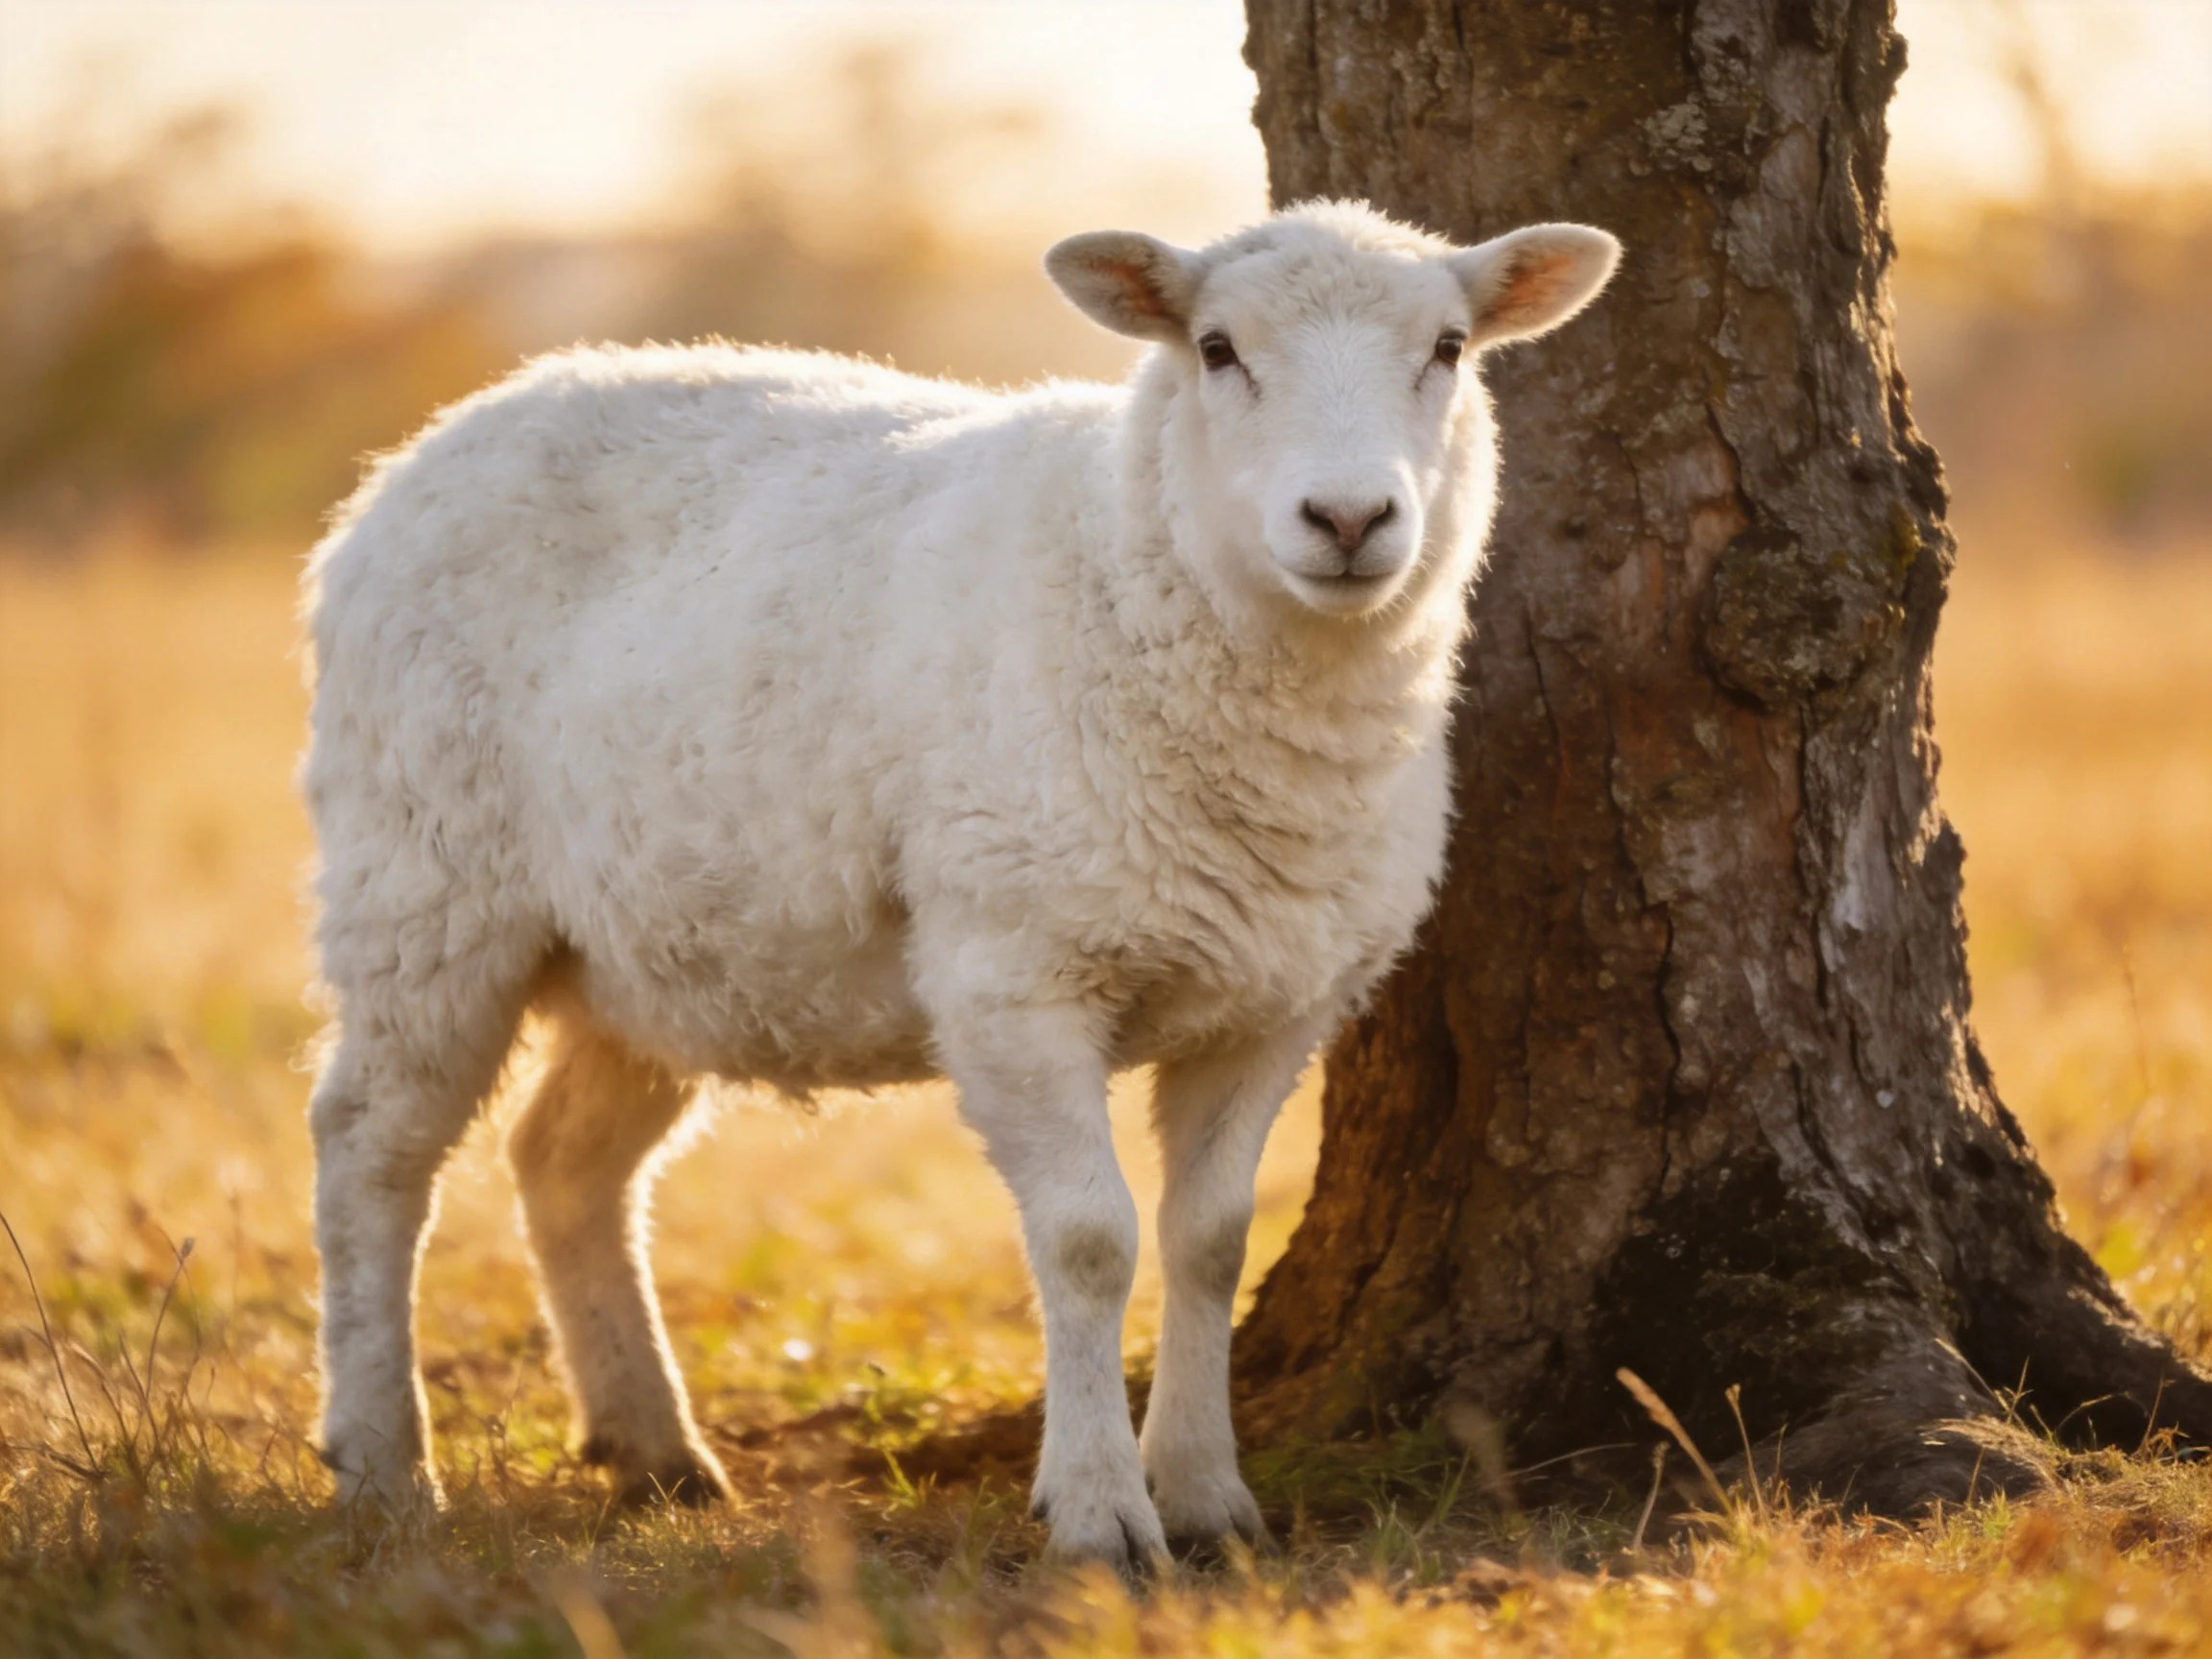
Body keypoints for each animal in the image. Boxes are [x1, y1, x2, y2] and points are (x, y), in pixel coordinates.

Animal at [301, 199, 1619, 1571]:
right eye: (1216, 349)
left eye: (1449, 349)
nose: (1351, 519)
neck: (1133, 568)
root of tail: (448, 431)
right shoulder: (1013, 971)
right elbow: (1091, 1241)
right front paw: (1100, 1514)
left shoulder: (1277, 1002)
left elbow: (1209, 1243)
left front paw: (1208, 1496)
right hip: (424, 880)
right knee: (371, 1151)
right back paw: (383, 1461)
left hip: (650, 941)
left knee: (565, 1160)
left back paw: (653, 1451)